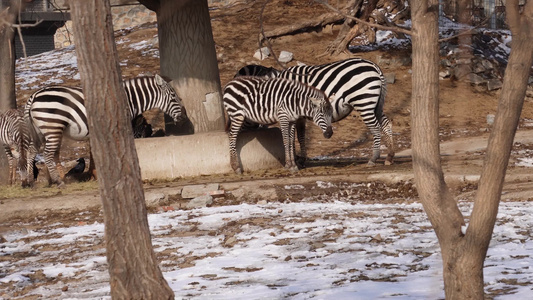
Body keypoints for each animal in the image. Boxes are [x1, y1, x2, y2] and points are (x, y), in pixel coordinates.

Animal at [24, 74, 185, 186]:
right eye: (173, 96)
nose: (183, 116)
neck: (128, 101)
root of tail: (35, 95)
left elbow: (94, 154)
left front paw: (96, 175)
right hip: (52, 128)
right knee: (47, 154)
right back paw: (59, 181)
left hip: (40, 131)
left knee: (32, 152)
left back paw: (30, 181)